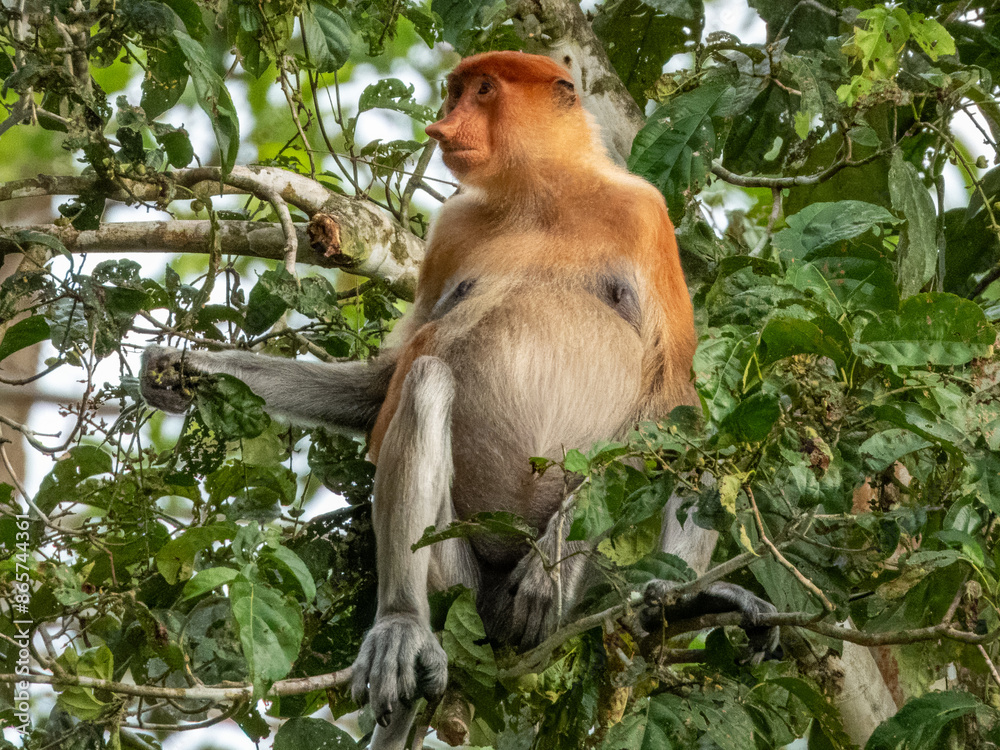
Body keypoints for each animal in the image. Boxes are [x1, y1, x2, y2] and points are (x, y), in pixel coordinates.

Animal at [140, 51, 776, 750]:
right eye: (455, 92)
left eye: (484, 90)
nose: (442, 126)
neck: (540, 195)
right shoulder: (452, 230)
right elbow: (383, 385)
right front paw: (183, 369)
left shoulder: (645, 216)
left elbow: (674, 402)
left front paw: (560, 562)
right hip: (457, 583)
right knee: (426, 380)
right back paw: (404, 628)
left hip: (575, 594)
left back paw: (676, 600)